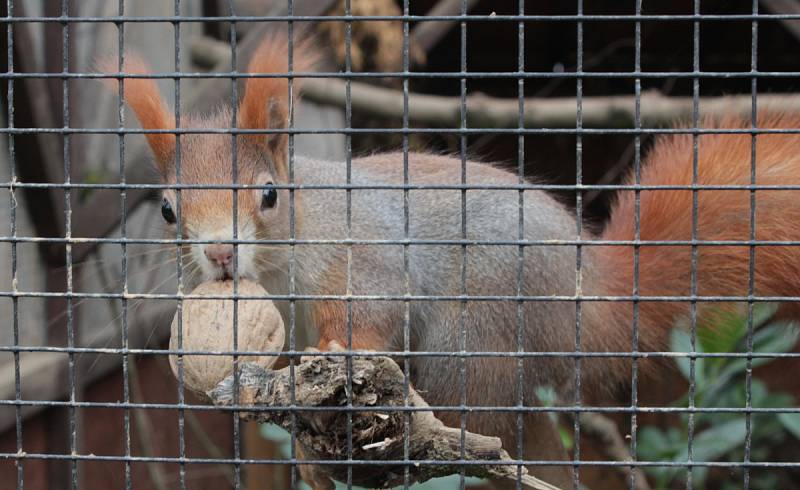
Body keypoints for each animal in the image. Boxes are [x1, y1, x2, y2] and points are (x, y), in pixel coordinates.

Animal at [108, 32, 800, 488]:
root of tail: (585, 307)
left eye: (270, 196)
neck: (281, 267)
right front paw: (305, 452)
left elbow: (370, 314)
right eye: (167, 210)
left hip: (477, 344)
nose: (219, 251)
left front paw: (339, 351)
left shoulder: (365, 258)